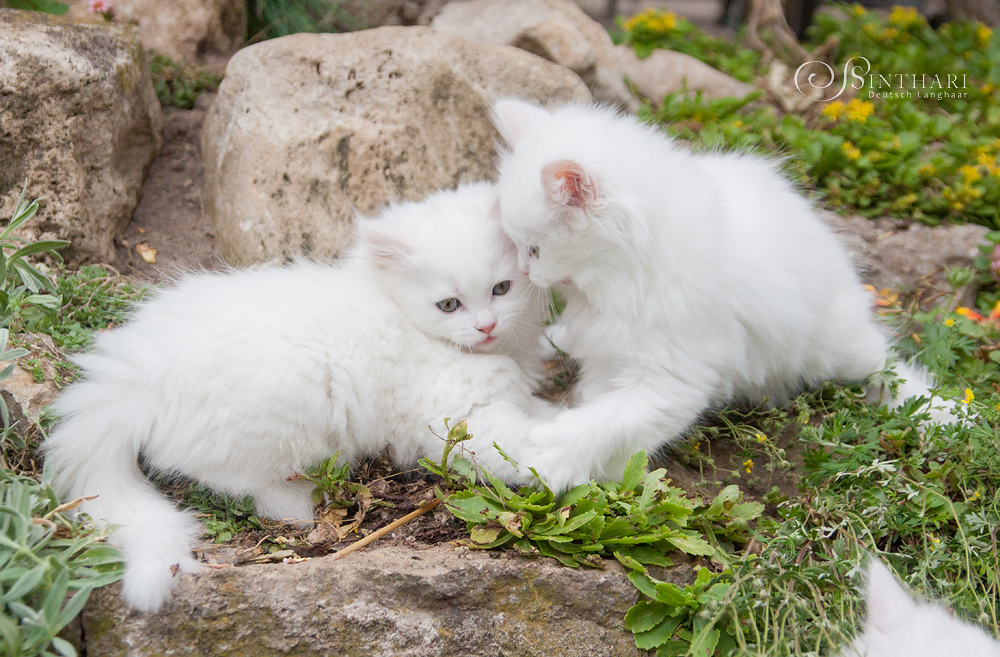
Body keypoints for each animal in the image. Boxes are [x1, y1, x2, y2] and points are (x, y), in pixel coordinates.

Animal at [43, 182, 552, 612]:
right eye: (449, 305)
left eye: (502, 289)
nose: (486, 326)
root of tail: (140, 374)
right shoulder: (453, 421)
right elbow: (522, 448)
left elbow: (537, 409)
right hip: (288, 412)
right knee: (244, 483)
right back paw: (303, 506)